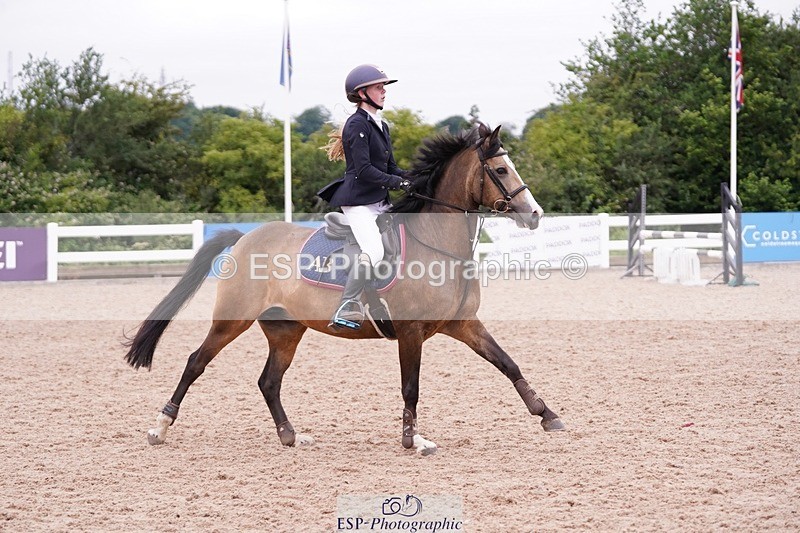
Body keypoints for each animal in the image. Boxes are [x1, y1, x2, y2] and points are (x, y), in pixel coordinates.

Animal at [124, 123, 565, 455]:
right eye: (502, 170)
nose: (536, 215)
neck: (438, 242)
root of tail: (245, 237)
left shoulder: (463, 323)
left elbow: (508, 364)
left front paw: (548, 415)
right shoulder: (411, 332)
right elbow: (410, 387)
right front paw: (412, 440)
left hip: (286, 329)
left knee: (269, 381)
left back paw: (290, 436)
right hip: (233, 319)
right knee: (196, 362)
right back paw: (159, 427)